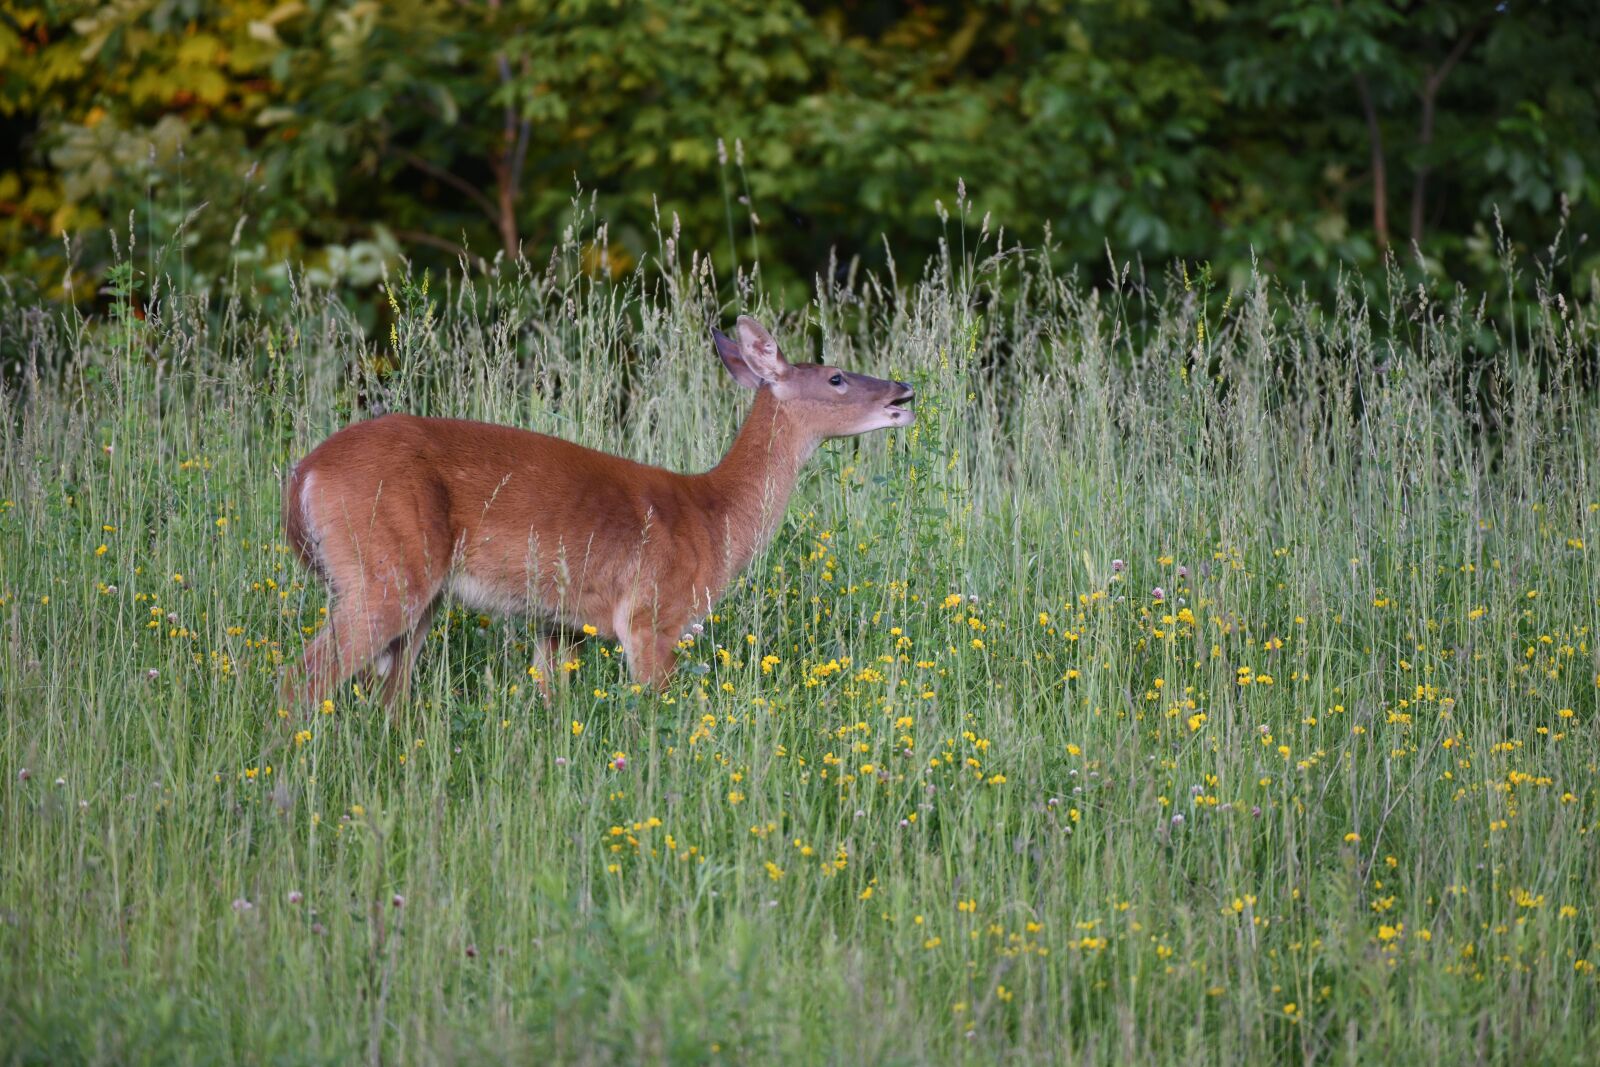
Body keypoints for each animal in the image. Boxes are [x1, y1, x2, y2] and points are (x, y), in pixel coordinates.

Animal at [279, 315, 914, 710]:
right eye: (836, 377)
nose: (903, 392)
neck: (714, 517)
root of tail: (303, 475)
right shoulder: (653, 613)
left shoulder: (562, 624)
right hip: (385, 570)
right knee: (302, 678)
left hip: (416, 593)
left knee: (388, 695)